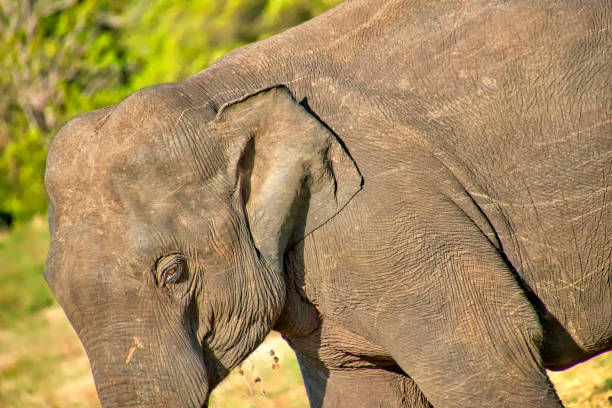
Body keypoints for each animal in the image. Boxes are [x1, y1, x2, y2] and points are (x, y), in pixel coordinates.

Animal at [44, 0, 612, 406]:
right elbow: (359, 388)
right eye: (54, 285)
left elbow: (490, 359)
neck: (211, 93)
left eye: (173, 272)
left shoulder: (388, 223)